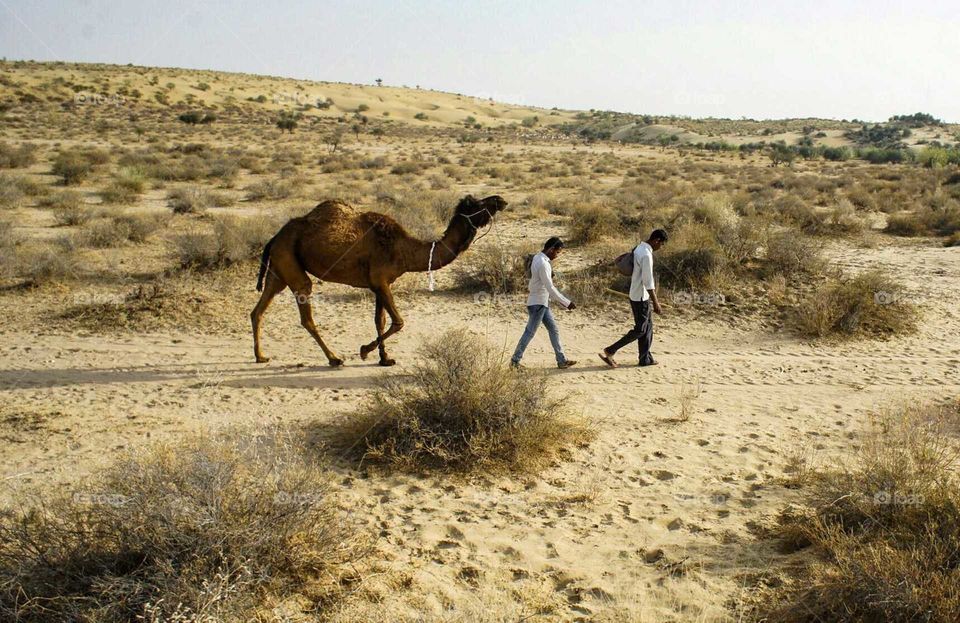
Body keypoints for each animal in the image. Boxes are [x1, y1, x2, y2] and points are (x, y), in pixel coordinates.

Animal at [251, 194, 508, 366]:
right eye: (478, 204)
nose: (501, 200)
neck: (405, 249)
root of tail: (275, 237)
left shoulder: (379, 284)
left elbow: (380, 320)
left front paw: (385, 358)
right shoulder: (380, 280)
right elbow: (398, 322)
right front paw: (365, 350)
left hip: (279, 270)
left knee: (258, 310)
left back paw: (261, 356)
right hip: (290, 261)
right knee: (306, 313)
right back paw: (334, 358)